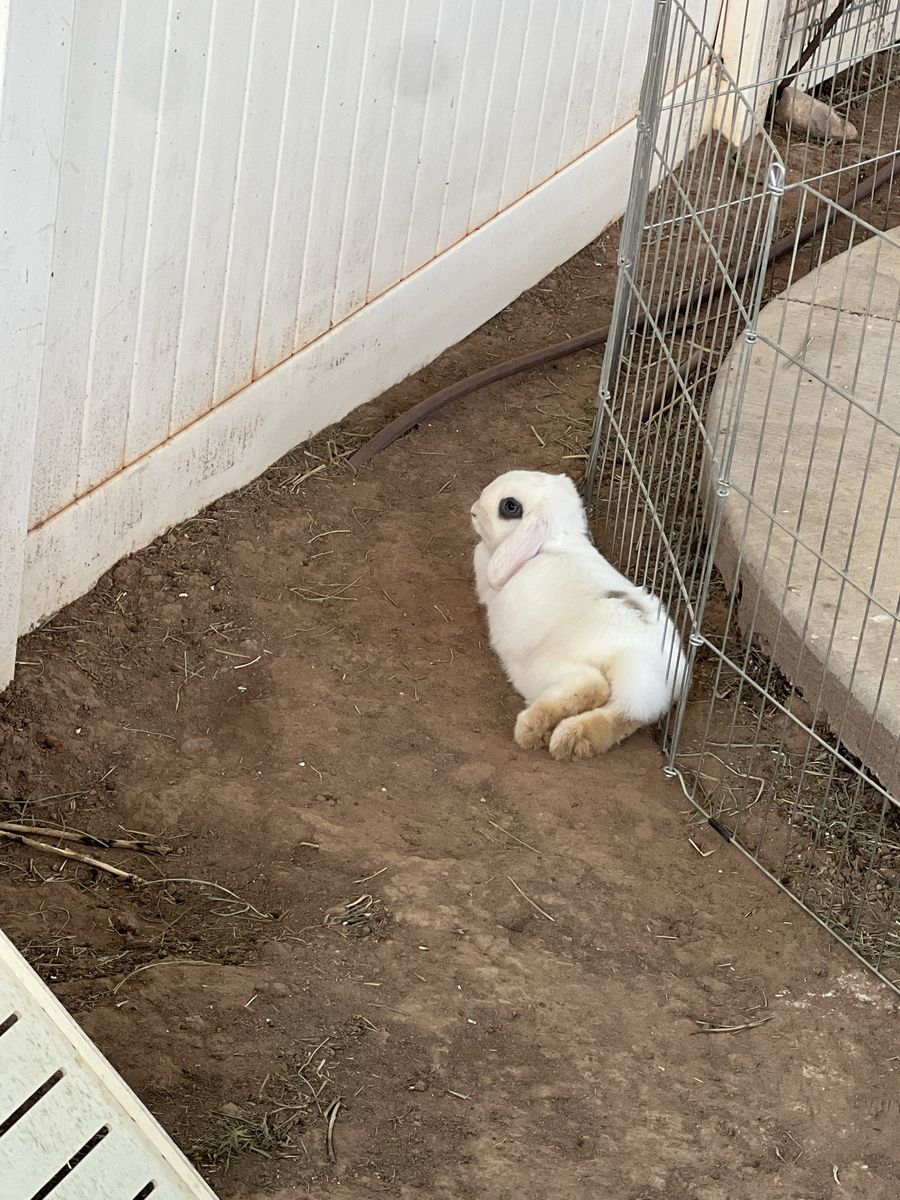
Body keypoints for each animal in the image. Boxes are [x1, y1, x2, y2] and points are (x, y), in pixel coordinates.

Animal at [470, 469, 688, 760]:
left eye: (510, 506)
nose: (473, 511)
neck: (555, 541)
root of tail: (643, 659)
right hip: (636, 699)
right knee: (623, 714)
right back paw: (575, 739)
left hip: (541, 666)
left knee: (591, 685)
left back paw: (533, 729)